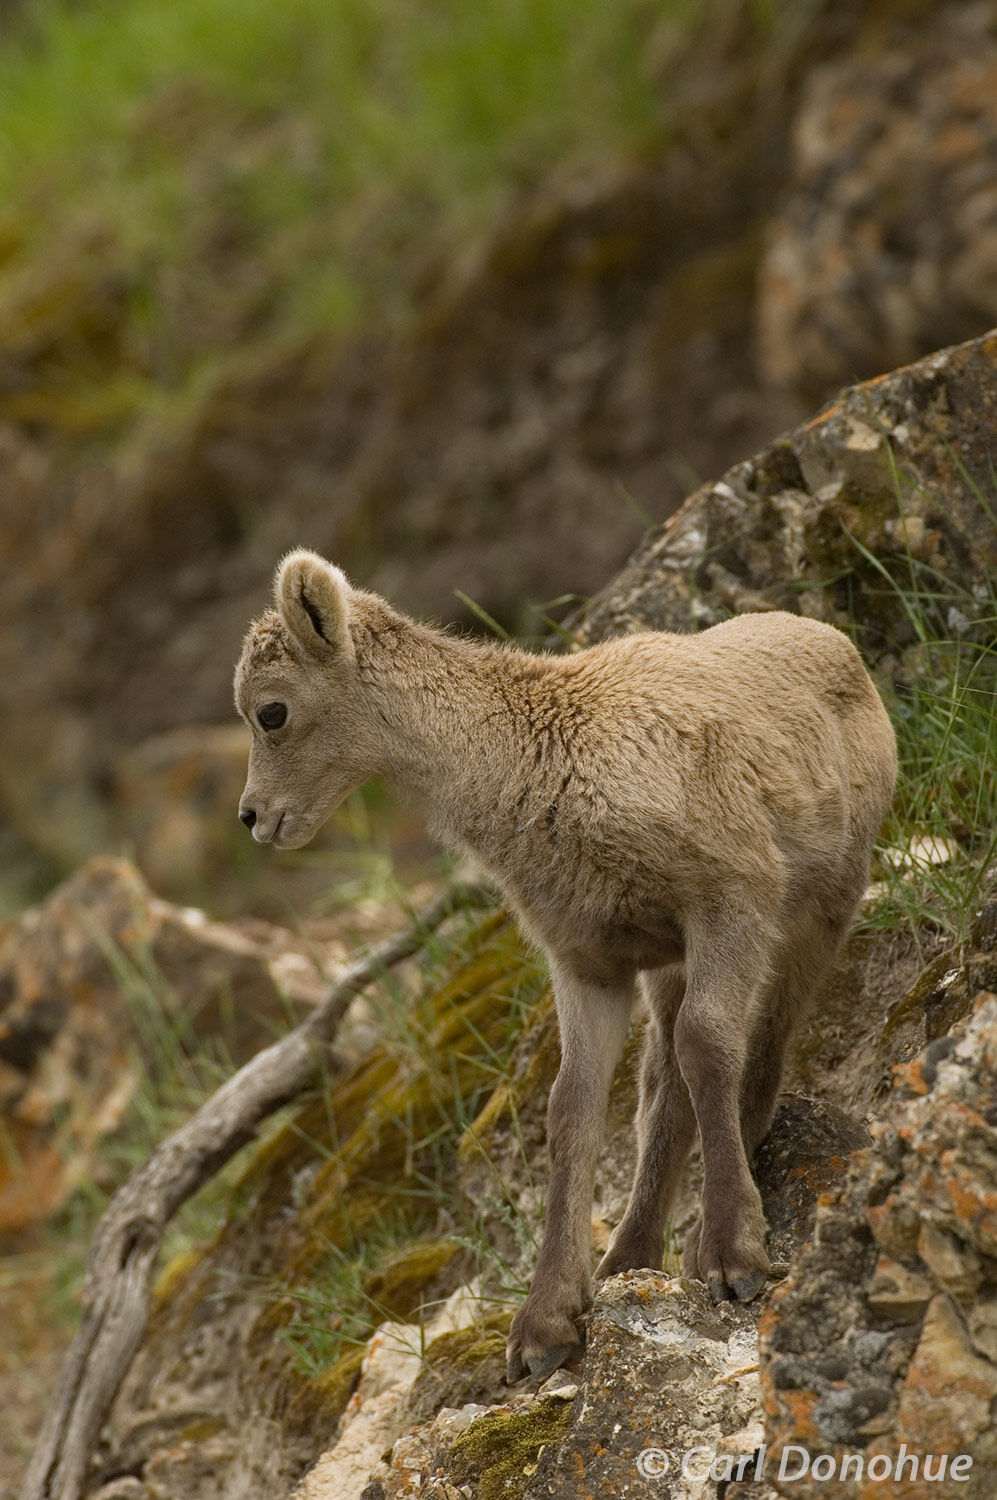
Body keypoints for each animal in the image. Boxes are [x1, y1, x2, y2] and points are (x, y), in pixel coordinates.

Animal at [236, 549, 899, 1380]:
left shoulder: (731, 901)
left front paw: (730, 1256)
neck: (550, 761)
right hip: (666, 970)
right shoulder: (590, 960)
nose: (254, 817)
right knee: (659, 1090)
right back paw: (629, 1256)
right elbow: (572, 1107)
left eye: (271, 711)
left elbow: (711, 1047)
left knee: (758, 1049)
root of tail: (838, 648)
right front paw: (544, 1330)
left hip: (821, 908)